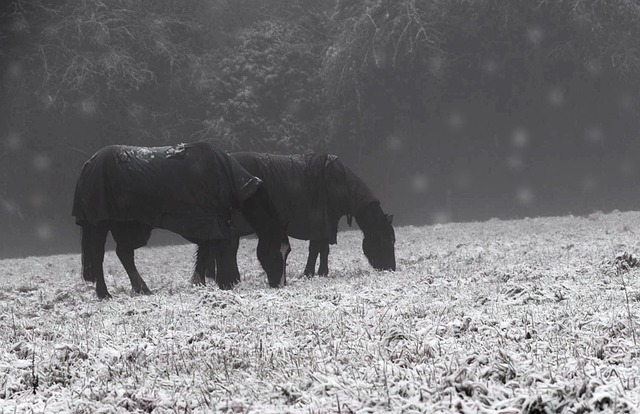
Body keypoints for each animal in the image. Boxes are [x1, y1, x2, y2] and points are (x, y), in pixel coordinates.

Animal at [72, 142, 290, 299]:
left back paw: (142, 289)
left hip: (127, 225)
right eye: (274, 251)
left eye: (287, 252)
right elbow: (214, 250)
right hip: (100, 225)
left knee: (123, 253)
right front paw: (220, 283)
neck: (224, 175)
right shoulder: (210, 222)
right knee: (99, 256)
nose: (280, 285)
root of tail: (89, 164)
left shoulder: (212, 222)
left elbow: (207, 251)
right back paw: (104, 294)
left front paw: (202, 283)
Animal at [207, 152, 395, 281]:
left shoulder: (325, 226)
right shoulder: (320, 224)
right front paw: (311, 273)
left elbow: (322, 250)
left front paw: (320, 273)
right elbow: (317, 249)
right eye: (384, 239)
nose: (391, 268)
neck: (339, 185)